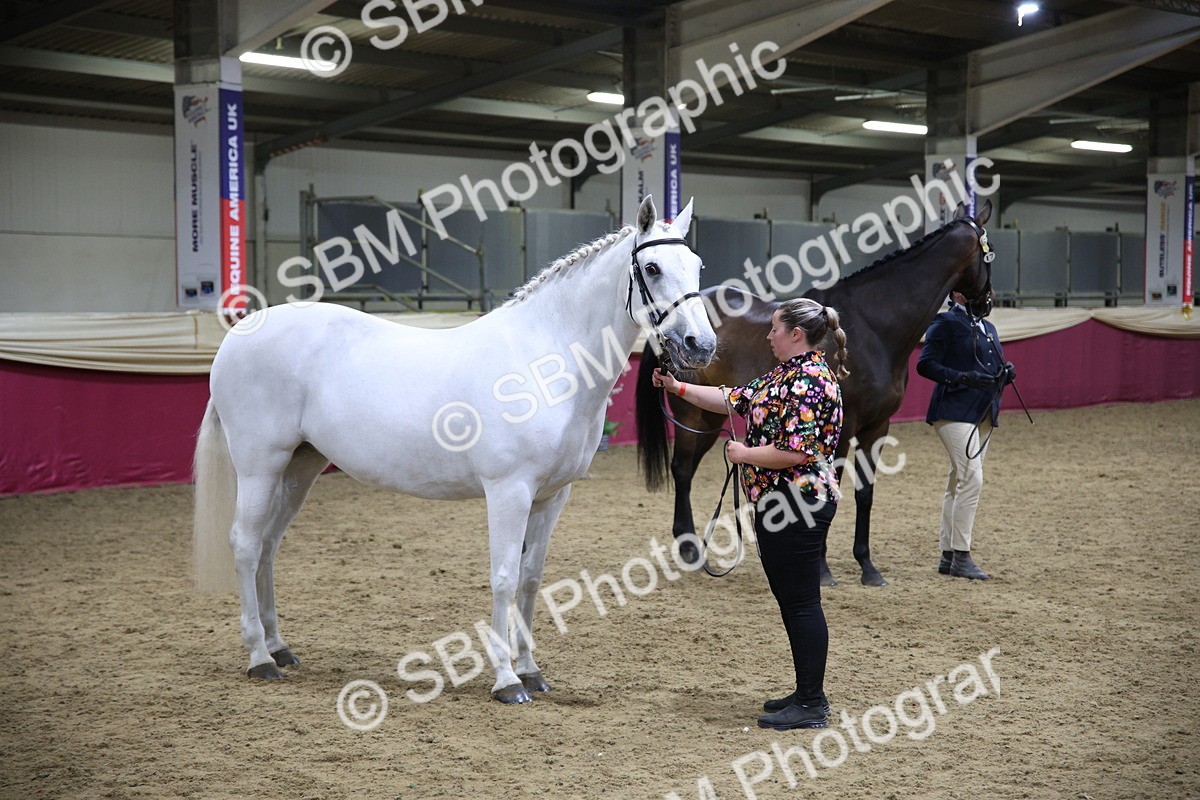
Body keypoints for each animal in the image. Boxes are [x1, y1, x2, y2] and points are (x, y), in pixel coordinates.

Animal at [192, 195, 717, 703]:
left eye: (696, 264)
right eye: (652, 268)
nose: (702, 344)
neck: (544, 358)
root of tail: (238, 335)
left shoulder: (552, 496)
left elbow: (531, 578)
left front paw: (532, 671)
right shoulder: (509, 491)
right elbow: (504, 577)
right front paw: (506, 681)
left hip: (300, 467)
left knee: (268, 545)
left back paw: (280, 647)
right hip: (261, 466)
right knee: (245, 544)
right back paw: (260, 658)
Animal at [636, 200, 994, 587]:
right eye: (989, 255)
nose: (986, 304)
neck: (872, 327)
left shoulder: (877, 427)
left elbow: (864, 493)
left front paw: (867, 567)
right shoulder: (842, 430)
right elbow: (825, 488)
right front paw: (821, 569)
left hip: (714, 415)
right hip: (692, 416)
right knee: (682, 470)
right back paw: (689, 548)